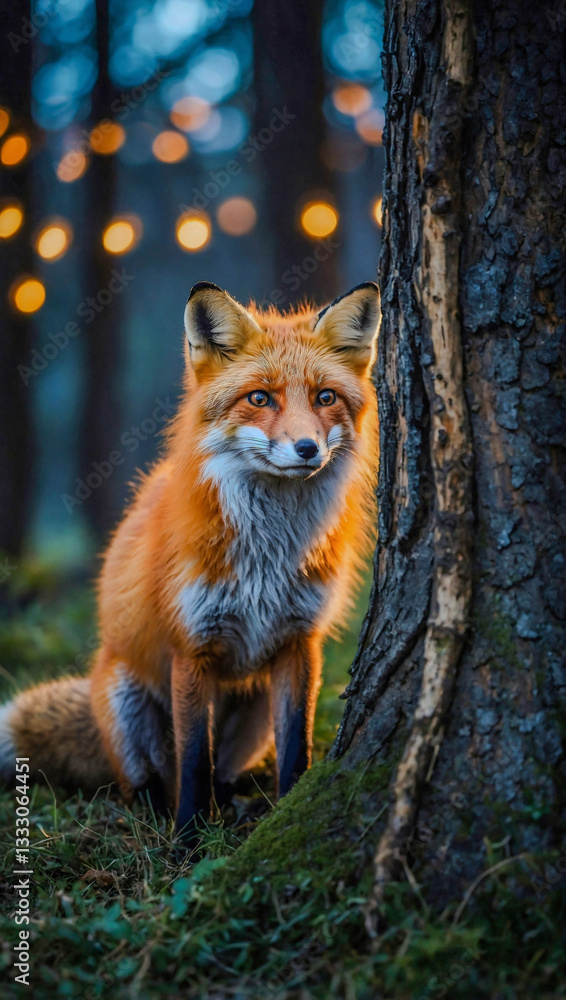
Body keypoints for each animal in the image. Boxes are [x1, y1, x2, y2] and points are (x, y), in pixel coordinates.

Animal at [0, 280, 380, 841]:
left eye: (325, 397)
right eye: (260, 398)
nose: (308, 448)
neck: (267, 556)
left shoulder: (298, 643)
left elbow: (297, 748)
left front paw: (287, 809)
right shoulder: (191, 646)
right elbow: (195, 757)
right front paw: (188, 839)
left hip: (254, 715)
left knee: (224, 771)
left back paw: (235, 805)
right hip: (127, 703)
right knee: (149, 781)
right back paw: (162, 815)